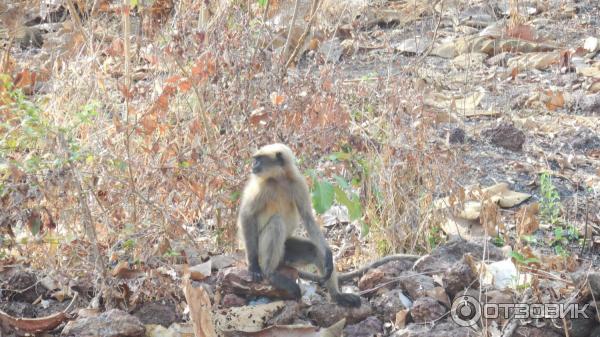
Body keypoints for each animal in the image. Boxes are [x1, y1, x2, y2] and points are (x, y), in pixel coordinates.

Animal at [238, 143, 360, 306]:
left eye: (258, 160)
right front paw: (253, 265)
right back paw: (270, 274)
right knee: (276, 222)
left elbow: (308, 217)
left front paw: (328, 254)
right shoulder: (261, 186)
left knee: (314, 250)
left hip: (286, 253)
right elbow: (247, 215)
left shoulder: (298, 183)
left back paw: (337, 296)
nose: (253, 166)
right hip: (260, 249)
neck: (279, 179)